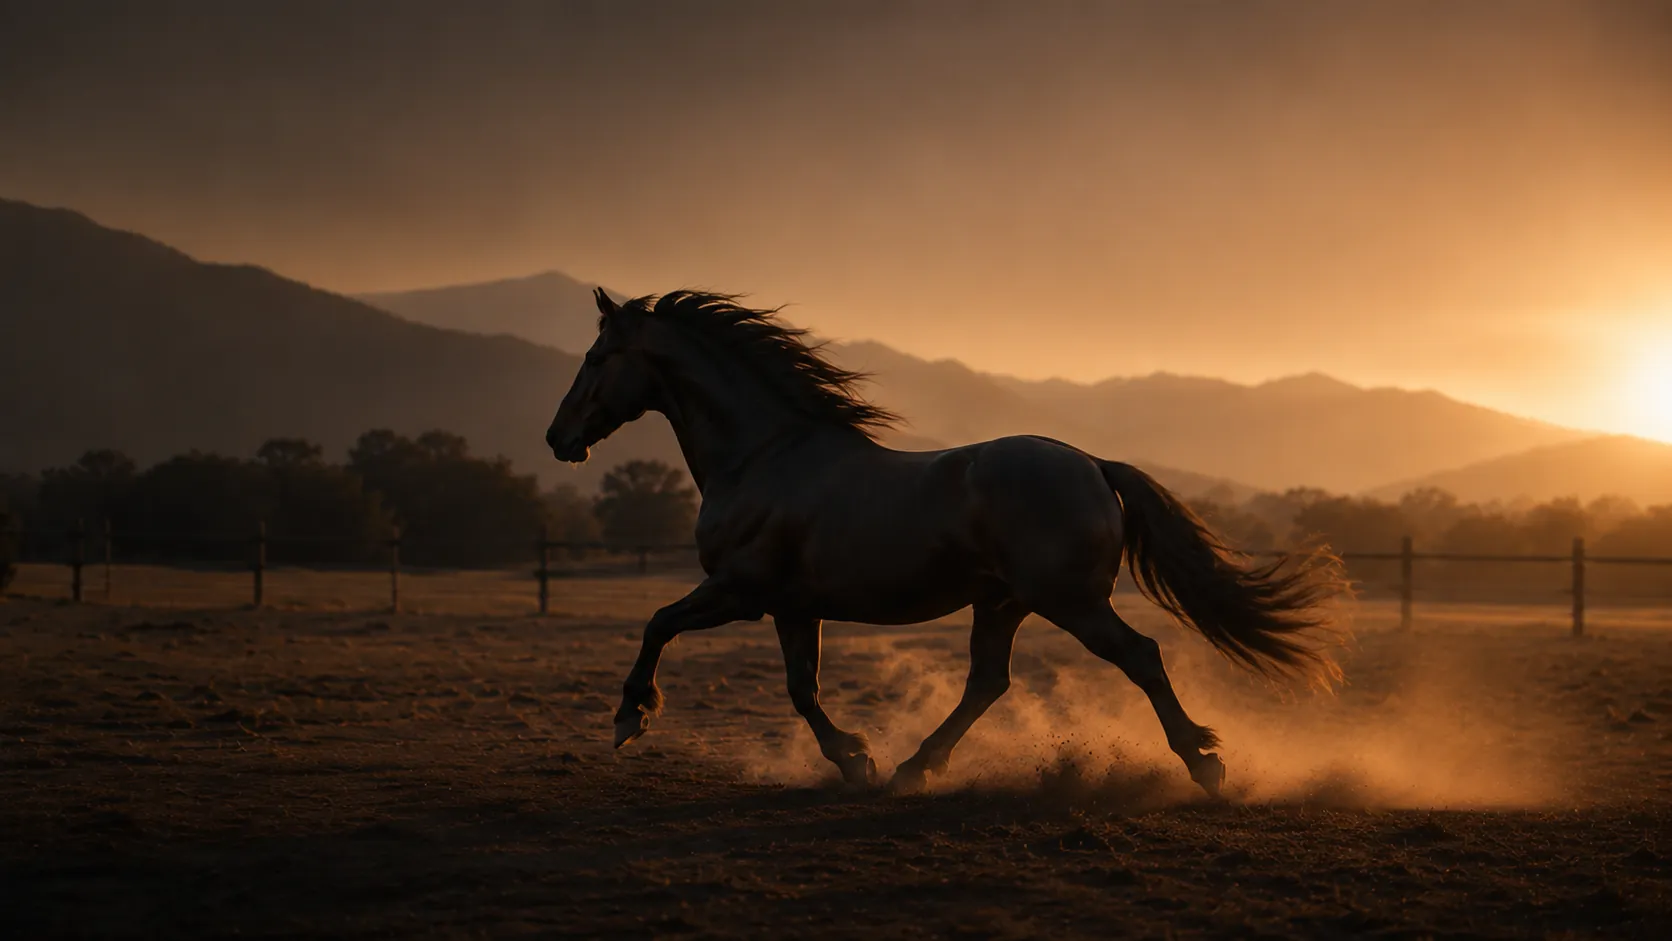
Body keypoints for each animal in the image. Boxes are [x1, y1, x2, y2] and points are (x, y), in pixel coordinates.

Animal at [545, 289, 1345, 795]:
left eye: (594, 358)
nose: (558, 438)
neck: (764, 453)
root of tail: (1092, 463)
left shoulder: (739, 592)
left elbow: (658, 624)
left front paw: (629, 717)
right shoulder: (792, 606)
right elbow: (802, 689)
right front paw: (856, 762)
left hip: (1070, 602)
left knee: (1139, 657)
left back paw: (1204, 764)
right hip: (1003, 603)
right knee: (988, 681)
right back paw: (913, 766)